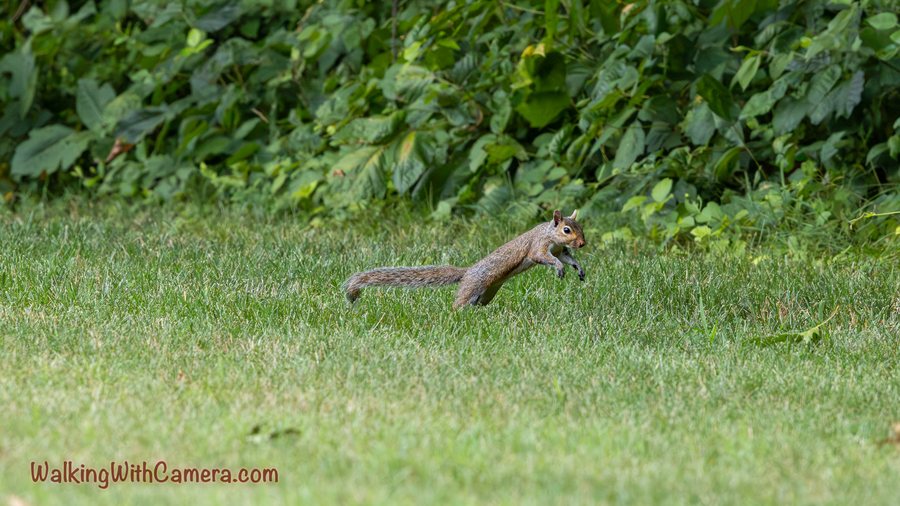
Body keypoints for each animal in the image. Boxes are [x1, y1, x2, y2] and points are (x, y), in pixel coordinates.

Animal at [344, 209, 586, 309]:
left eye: (580, 227)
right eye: (566, 230)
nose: (583, 243)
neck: (551, 235)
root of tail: (467, 273)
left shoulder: (560, 250)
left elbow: (567, 258)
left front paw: (578, 268)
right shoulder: (538, 245)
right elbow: (541, 257)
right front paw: (558, 268)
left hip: (487, 292)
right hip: (475, 285)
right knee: (459, 301)